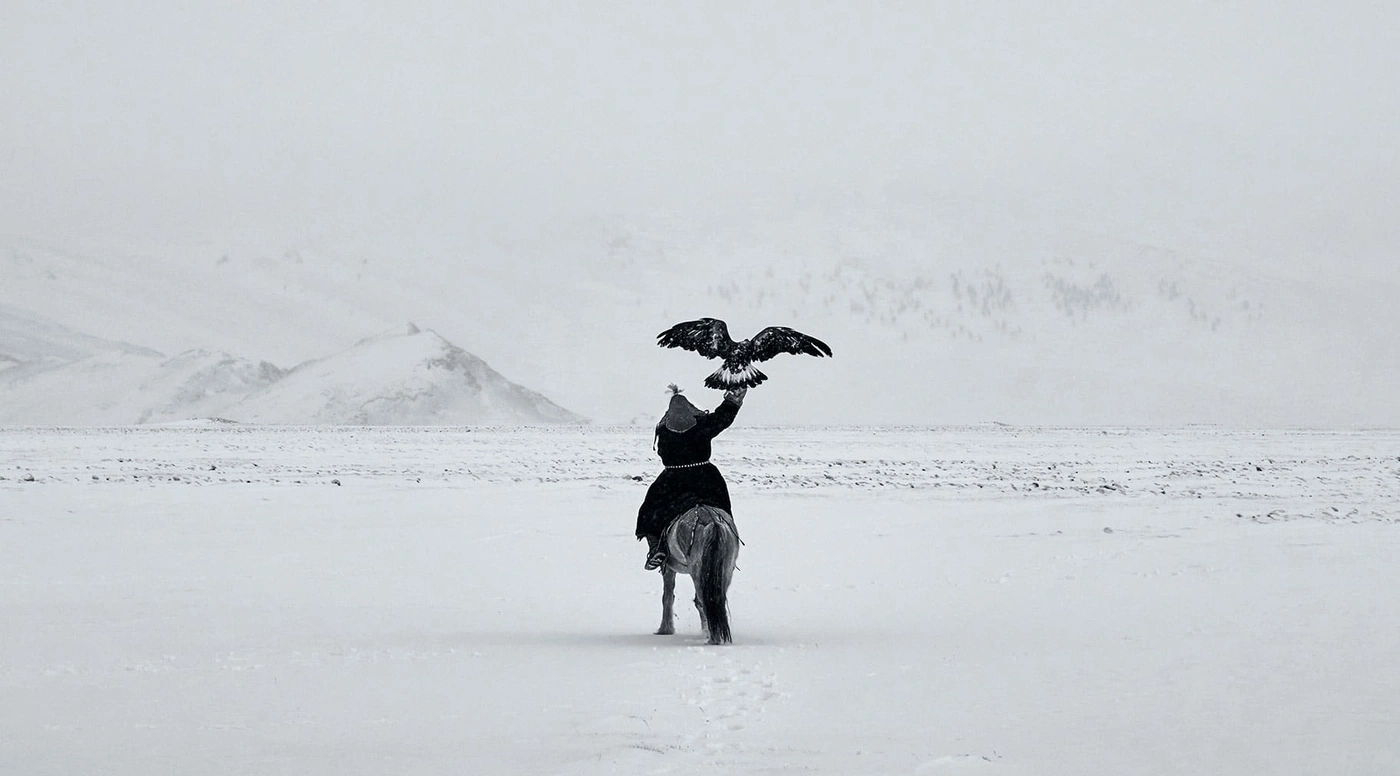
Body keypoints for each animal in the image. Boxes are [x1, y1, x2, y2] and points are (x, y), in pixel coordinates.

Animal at [654, 504, 741, 644]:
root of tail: (713, 521)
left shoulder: (667, 568)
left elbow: (667, 597)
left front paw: (665, 629)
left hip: (698, 573)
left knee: (705, 600)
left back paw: (713, 639)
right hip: (725, 570)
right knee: (716, 600)